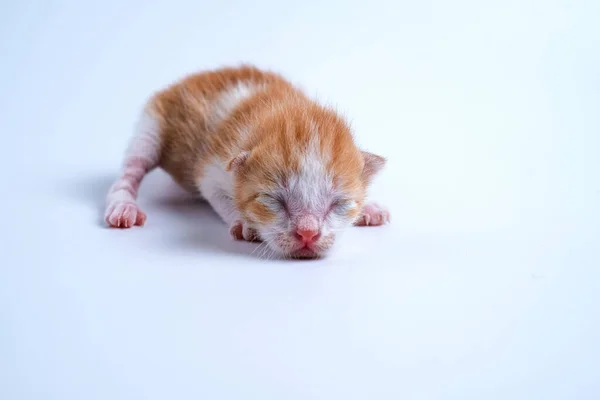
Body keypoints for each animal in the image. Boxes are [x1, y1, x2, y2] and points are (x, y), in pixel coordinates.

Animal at [105, 65, 392, 260]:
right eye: (274, 200)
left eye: (339, 203)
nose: (308, 234)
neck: (282, 111)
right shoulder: (212, 165)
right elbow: (217, 195)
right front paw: (244, 223)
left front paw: (369, 206)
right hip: (152, 124)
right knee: (132, 168)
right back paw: (123, 206)